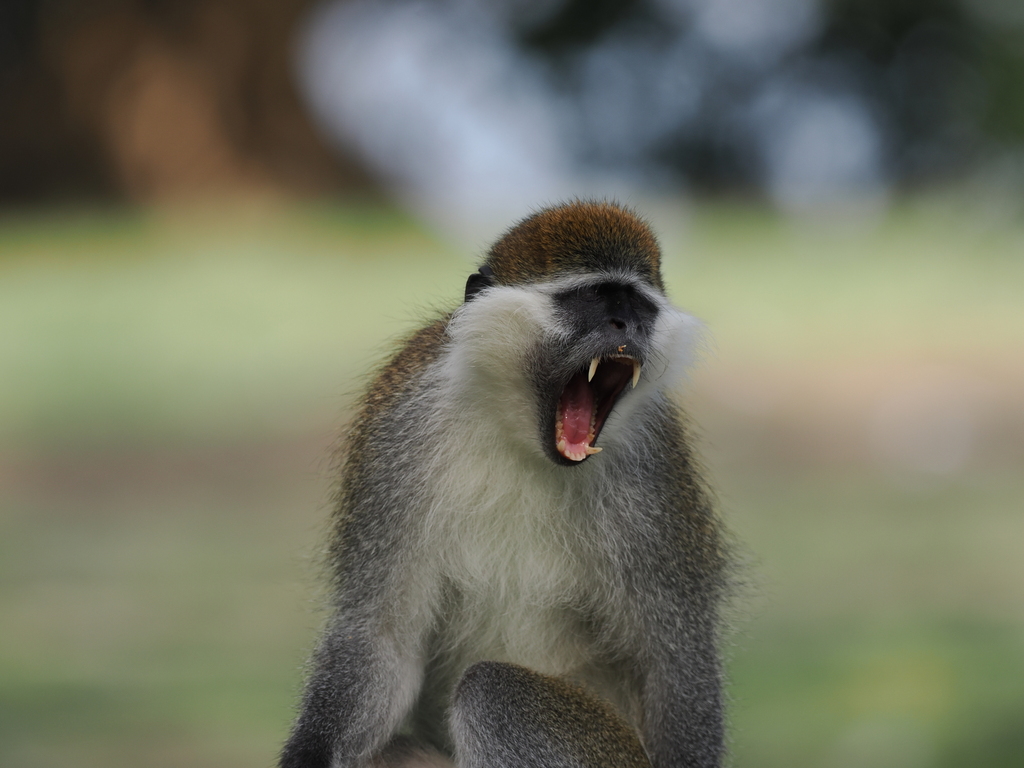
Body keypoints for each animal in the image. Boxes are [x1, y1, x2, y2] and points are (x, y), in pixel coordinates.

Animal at [279, 201, 731, 768]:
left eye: (638, 307)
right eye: (593, 300)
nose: (626, 324)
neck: (521, 434)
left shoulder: (655, 463)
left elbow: (673, 660)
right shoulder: (396, 431)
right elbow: (381, 637)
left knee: (492, 691)